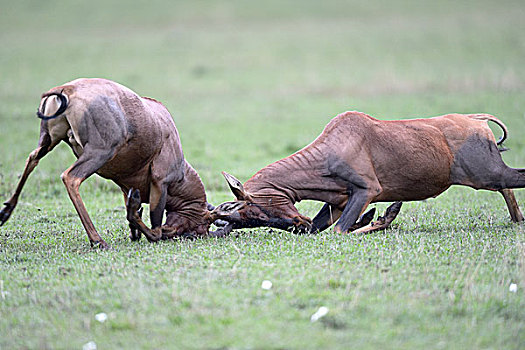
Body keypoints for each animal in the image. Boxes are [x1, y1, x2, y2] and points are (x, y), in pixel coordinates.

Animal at [0, 78, 229, 247]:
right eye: (201, 228)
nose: (180, 234)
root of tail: (68, 89)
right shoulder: (160, 182)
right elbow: (154, 230)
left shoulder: (126, 185)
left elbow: (133, 216)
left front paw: (134, 225)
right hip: (100, 152)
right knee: (70, 178)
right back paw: (97, 241)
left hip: (49, 139)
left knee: (33, 158)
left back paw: (6, 212)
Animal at [212, 110, 524, 235]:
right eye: (245, 220)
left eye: (255, 210)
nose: (297, 225)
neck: (335, 145)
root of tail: (476, 120)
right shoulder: (338, 202)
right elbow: (325, 229)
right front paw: (382, 216)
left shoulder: (367, 191)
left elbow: (339, 232)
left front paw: (385, 216)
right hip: (489, 175)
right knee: (506, 186)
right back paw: (517, 220)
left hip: (486, 175)